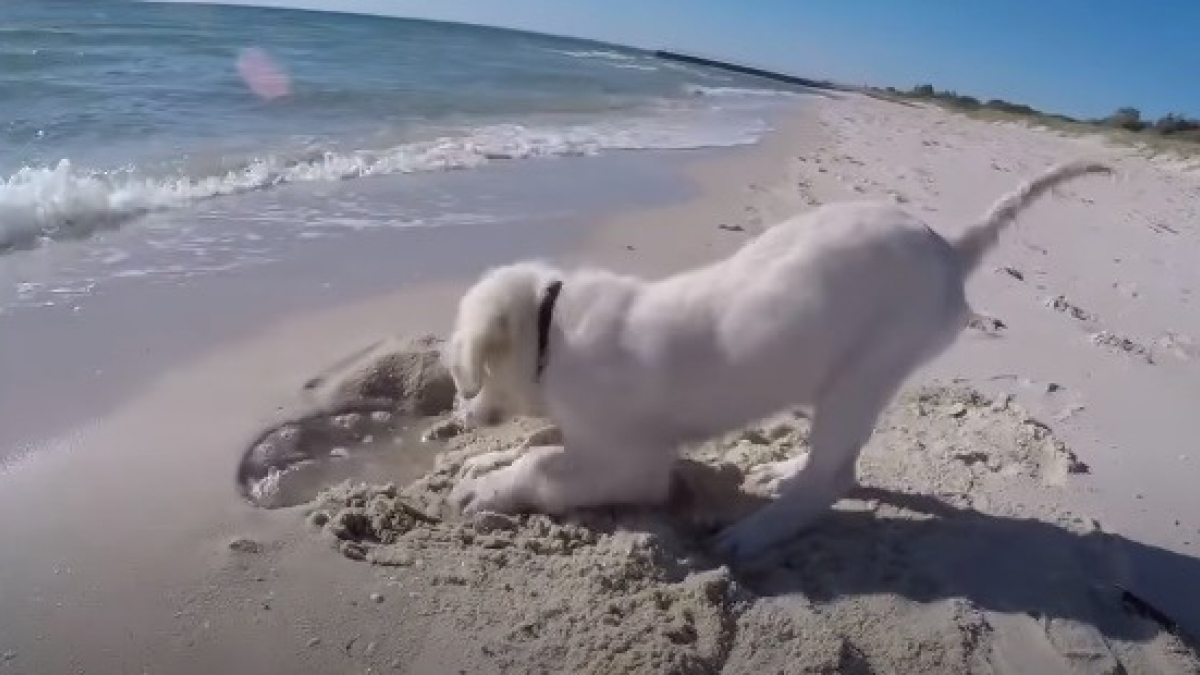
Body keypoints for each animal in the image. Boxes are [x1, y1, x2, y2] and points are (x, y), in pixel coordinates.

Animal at [446, 162, 1108, 557]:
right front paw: (487, 462)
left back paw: (755, 534)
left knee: (832, 477)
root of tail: (951, 246)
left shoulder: (633, 464)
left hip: (866, 370)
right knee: (835, 460)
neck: (551, 324)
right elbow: (540, 445)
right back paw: (781, 474)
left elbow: (545, 465)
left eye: (469, 377)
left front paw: (489, 487)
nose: (462, 419)